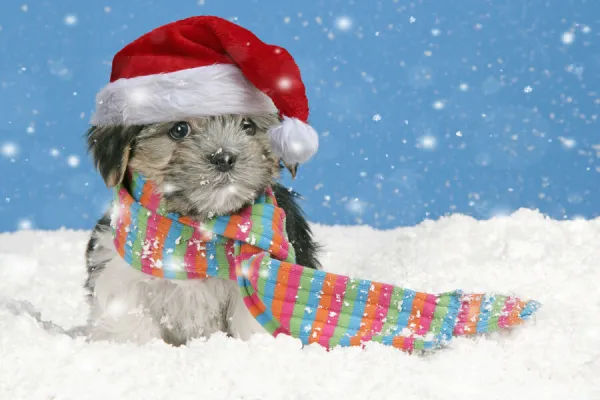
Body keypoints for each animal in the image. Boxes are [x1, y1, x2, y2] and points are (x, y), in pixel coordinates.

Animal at [84, 114, 322, 346]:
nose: (224, 158)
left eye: (248, 126)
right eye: (179, 129)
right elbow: (131, 321)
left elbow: (251, 319)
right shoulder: (122, 275)